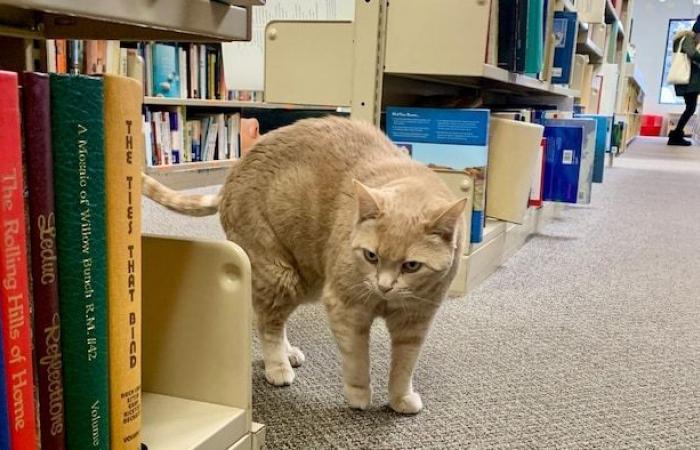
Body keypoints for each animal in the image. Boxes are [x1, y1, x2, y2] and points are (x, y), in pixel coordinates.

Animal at [143, 117, 468, 414]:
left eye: (411, 266)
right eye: (371, 256)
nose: (384, 286)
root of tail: (232, 175)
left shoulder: (414, 320)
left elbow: (403, 366)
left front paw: (400, 399)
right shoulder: (345, 308)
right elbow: (357, 360)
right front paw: (359, 396)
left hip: (304, 279)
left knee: (268, 317)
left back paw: (287, 353)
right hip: (281, 276)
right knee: (268, 324)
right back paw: (277, 365)